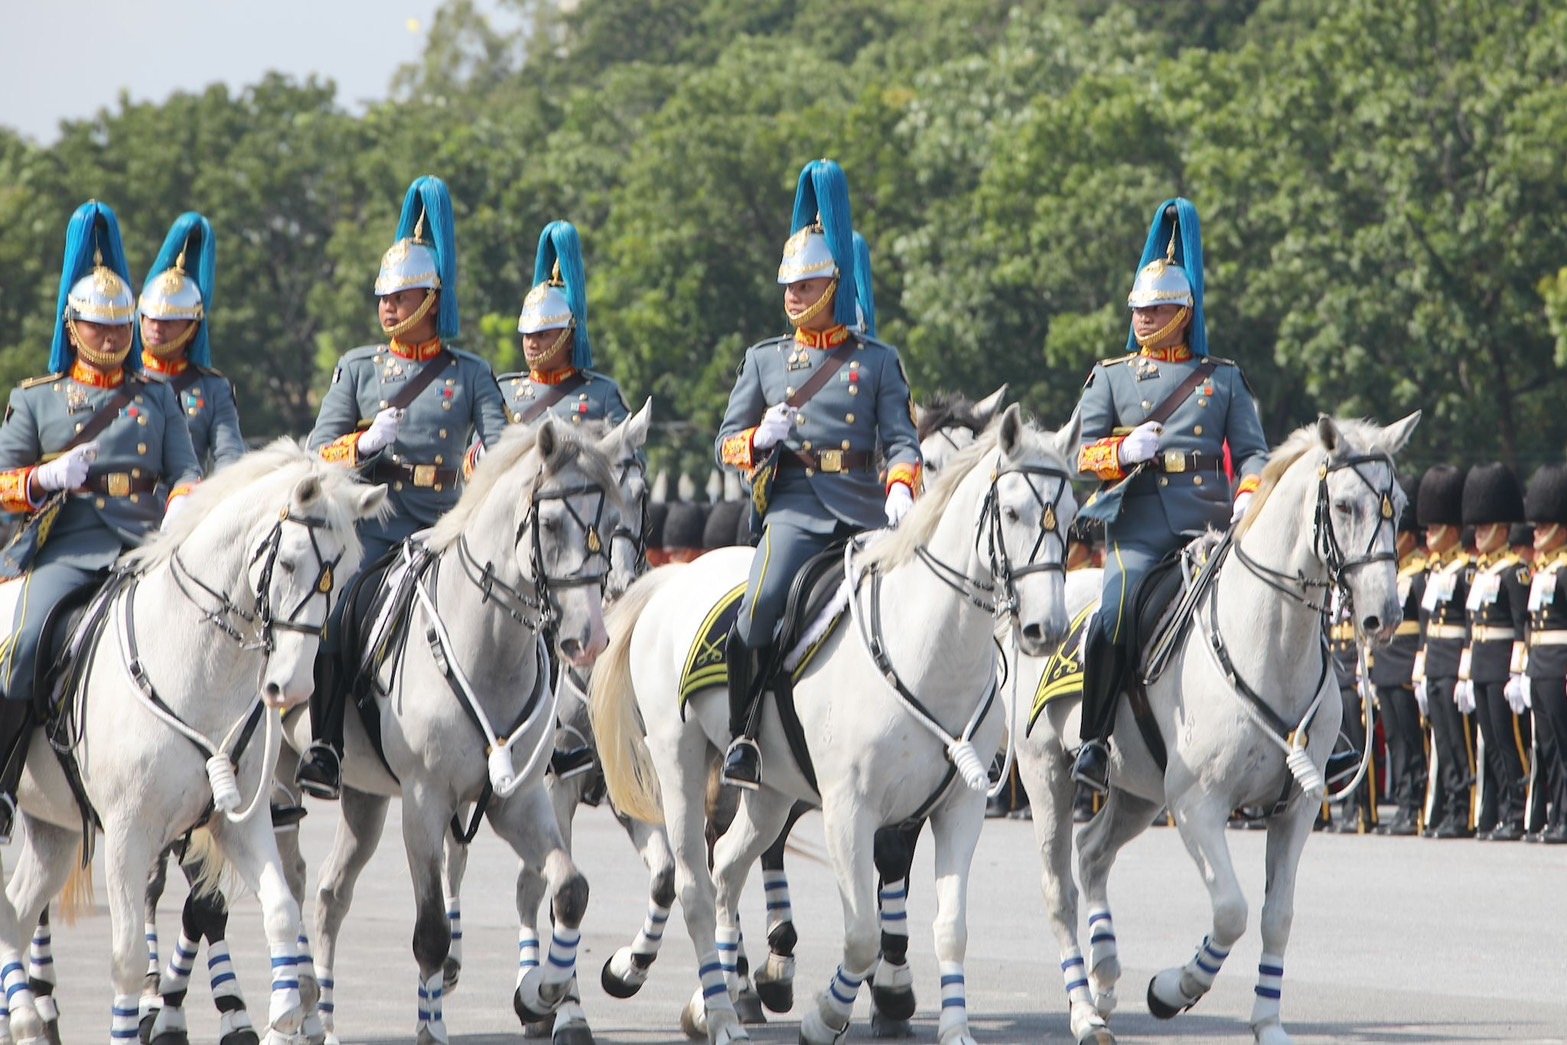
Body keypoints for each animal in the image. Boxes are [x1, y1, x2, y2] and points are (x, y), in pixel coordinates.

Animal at [0, 441, 385, 1045]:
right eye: (291, 562)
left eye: (345, 573)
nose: (292, 686)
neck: (201, 665)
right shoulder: (128, 834)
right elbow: (129, 956)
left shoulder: (237, 822)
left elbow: (280, 911)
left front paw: (283, 1017)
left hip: (53, 830)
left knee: (16, 911)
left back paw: (24, 1018)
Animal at [278, 419, 620, 1045]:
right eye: (552, 524)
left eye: (609, 527)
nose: (589, 640)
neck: (487, 649)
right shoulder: (424, 801)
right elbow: (432, 931)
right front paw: (432, 1026)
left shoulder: (518, 799)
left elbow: (568, 889)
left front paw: (541, 993)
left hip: (363, 798)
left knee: (330, 893)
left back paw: (321, 1018)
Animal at [592, 407, 1084, 1045]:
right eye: (1014, 512)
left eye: (1071, 517)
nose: (1046, 628)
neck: (931, 649)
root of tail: (672, 580)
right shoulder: (851, 809)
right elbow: (861, 934)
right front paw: (826, 1015)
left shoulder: (958, 808)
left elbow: (950, 927)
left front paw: (949, 1025)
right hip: (679, 762)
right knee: (693, 883)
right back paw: (720, 1011)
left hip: (769, 790)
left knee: (727, 866)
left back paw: (712, 1000)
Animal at [1015, 413, 1422, 1040]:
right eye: (1346, 505)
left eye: (1397, 504)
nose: (1385, 615)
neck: (1270, 643)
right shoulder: (1198, 805)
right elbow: (1231, 911)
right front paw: (1172, 989)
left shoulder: (1297, 807)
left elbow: (1277, 915)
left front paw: (1268, 1021)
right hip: (1047, 776)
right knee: (1059, 885)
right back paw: (1084, 1010)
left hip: (1138, 792)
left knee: (1092, 852)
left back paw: (1105, 977)